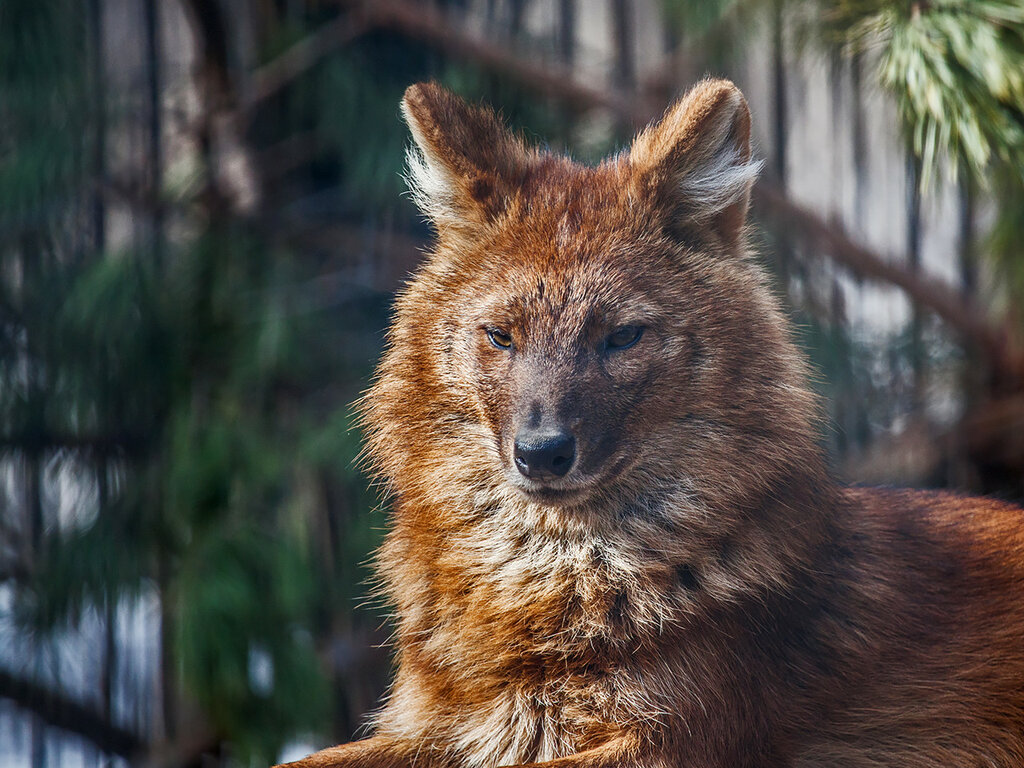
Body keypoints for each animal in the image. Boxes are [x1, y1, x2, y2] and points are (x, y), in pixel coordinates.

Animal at [280, 79, 1024, 768]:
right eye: (500, 335)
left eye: (622, 337)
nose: (541, 453)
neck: (550, 576)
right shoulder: (437, 726)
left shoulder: (675, 738)